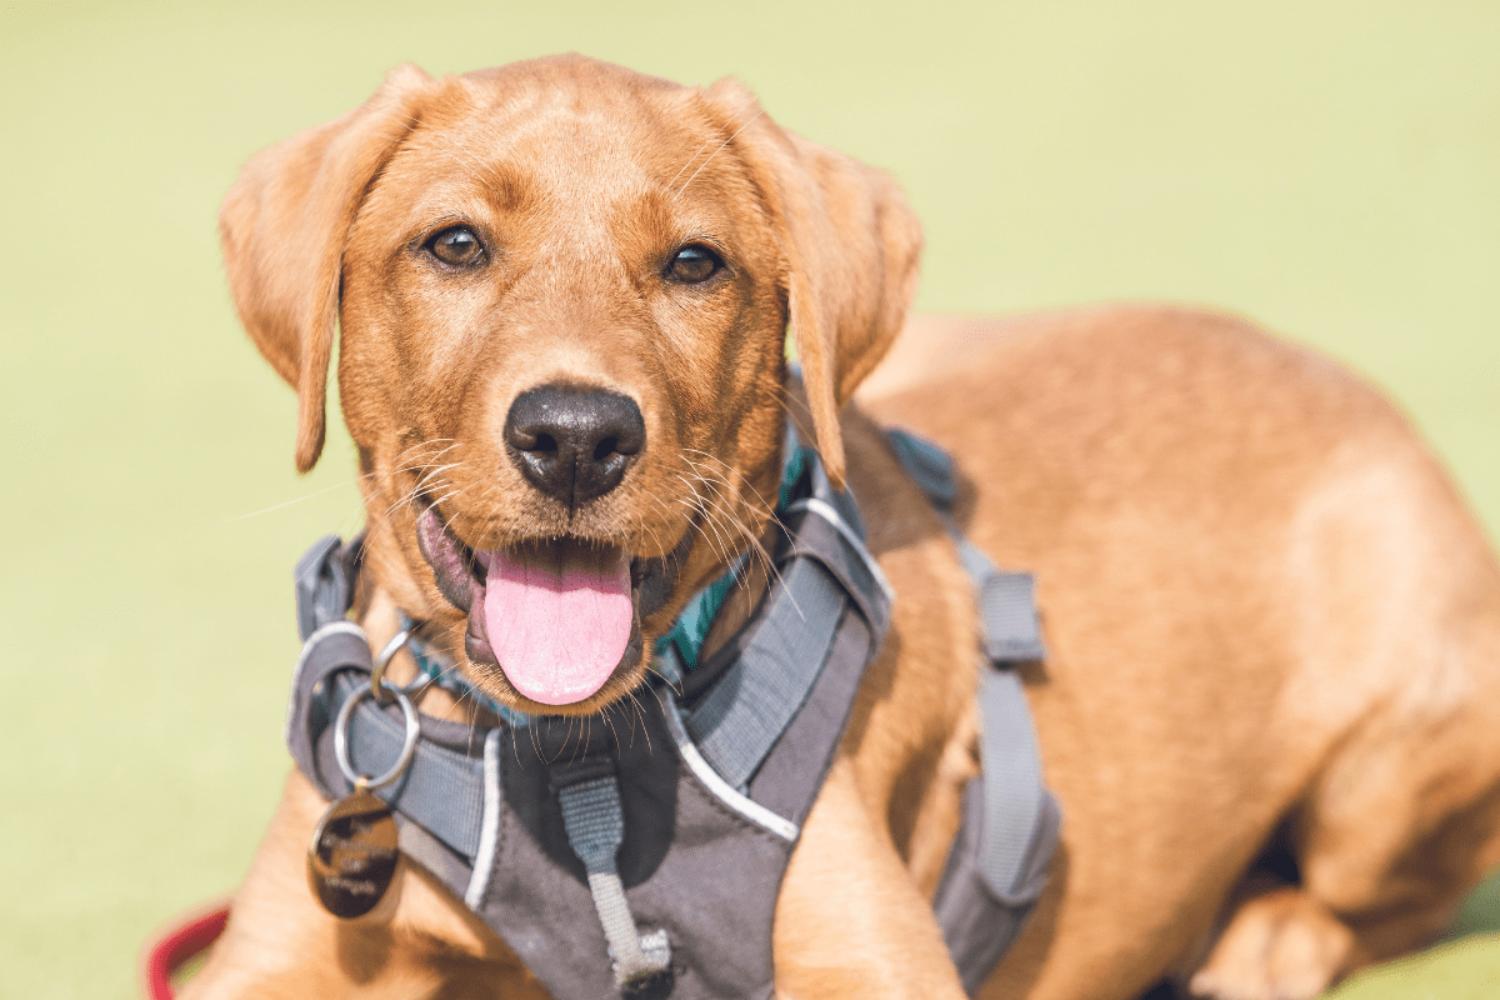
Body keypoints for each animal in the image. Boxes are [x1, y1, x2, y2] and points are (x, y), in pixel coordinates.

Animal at [184, 54, 1500, 1000]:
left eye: (695, 263)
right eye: (454, 244)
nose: (575, 435)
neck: (575, 763)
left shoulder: (870, 955)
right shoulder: (276, 957)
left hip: (1396, 756)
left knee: (1392, 886)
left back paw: (1267, 934)